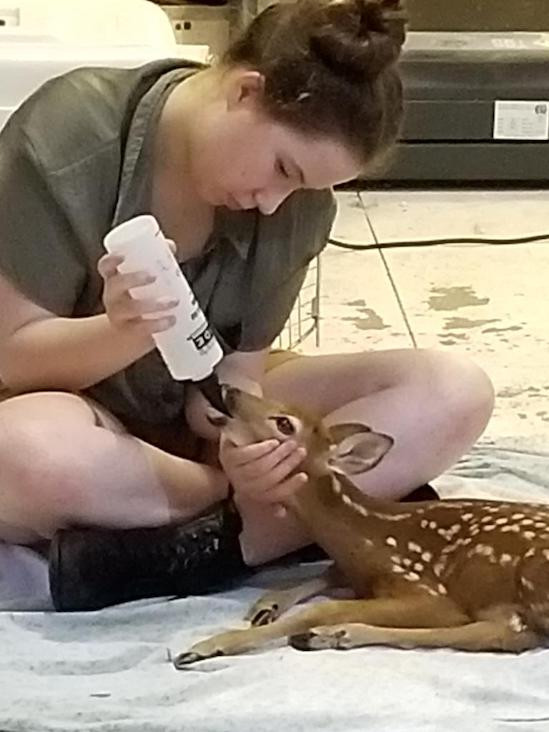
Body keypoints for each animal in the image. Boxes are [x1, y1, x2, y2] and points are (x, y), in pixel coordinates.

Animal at [173, 386, 549, 668]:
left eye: (284, 424)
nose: (229, 389)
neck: (365, 535)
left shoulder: (426, 589)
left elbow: (322, 607)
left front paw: (208, 646)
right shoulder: (352, 570)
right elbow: (326, 574)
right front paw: (267, 606)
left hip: (532, 574)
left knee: (504, 635)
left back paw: (330, 634)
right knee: (502, 634)